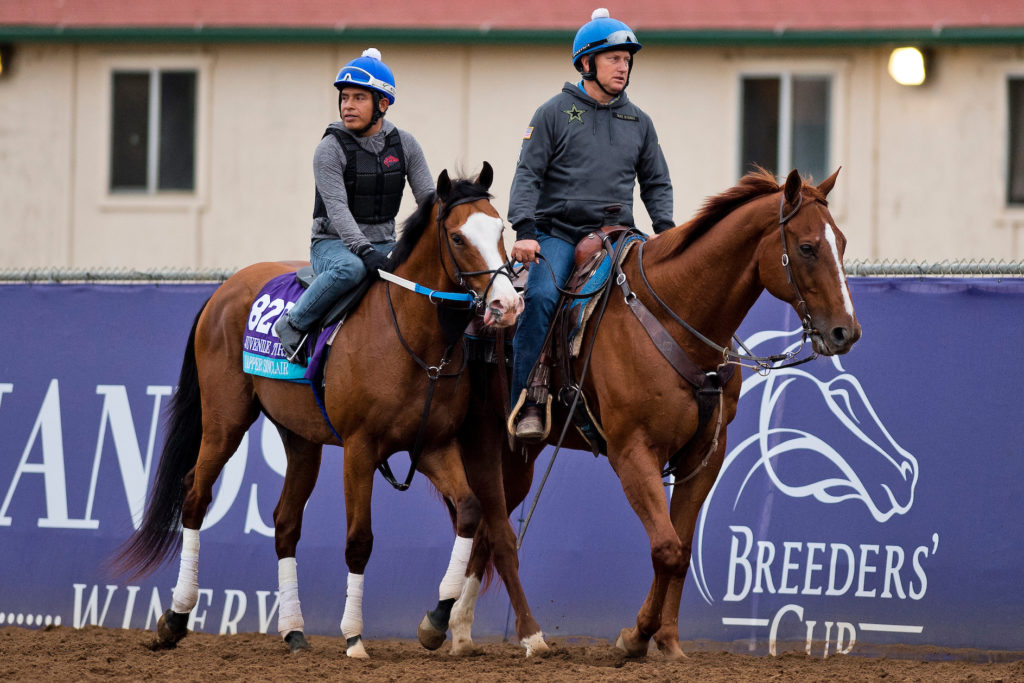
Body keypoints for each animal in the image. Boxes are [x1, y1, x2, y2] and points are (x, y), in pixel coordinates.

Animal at [113, 163, 524, 658]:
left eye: (501, 229)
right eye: (459, 237)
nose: (507, 304)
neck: (412, 339)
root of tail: (223, 291)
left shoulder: (432, 446)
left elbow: (469, 510)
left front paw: (436, 620)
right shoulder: (360, 450)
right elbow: (359, 540)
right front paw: (354, 637)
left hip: (301, 439)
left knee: (285, 522)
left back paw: (293, 630)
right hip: (225, 421)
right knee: (195, 496)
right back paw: (175, 618)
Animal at [418, 167, 862, 658]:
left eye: (841, 242)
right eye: (807, 248)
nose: (845, 331)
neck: (676, 318)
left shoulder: (703, 456)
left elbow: (681, 551)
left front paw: (668, 642)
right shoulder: (632, 452)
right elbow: (665, 546)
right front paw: (635, 636)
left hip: (519, 458)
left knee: (485, 532)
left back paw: (459, 630)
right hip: (484, 441)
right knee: (496, 529)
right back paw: (512, 635)